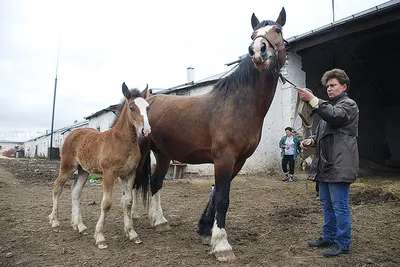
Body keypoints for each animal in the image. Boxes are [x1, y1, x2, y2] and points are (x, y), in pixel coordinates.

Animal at [48, 82, 150, 250]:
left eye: (147, 107)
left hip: (84, 171)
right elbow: (106, 204)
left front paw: (132, 233)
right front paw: (100, 237)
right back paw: (55, 222)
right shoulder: (109, 174)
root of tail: (73, 133)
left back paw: (79, 226)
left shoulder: (130, 174)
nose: (146, 130)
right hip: (67, 168)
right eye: (132, 108)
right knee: (57, 187)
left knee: (76, 192)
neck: (122, 142)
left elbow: (128, 202)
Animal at [136, 7, 286, 262]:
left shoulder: (238, 161)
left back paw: (159, 221)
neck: (239, 104)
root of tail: (148, 100)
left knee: (155, 183)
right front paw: (223, 246)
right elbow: (223, 198)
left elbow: (217, 194)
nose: (258, 50)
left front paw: (207, 231)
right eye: (252, 34)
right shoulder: (223, 158)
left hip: (163, 154)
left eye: (278, 30)